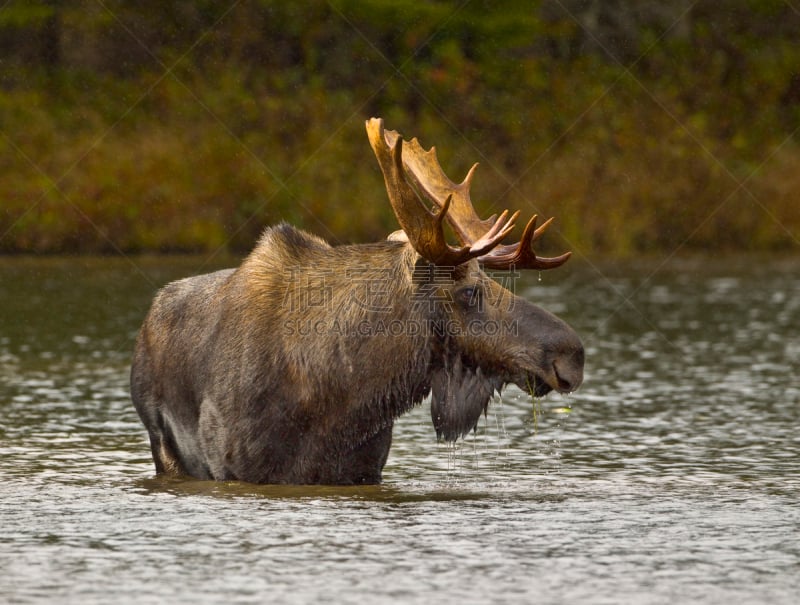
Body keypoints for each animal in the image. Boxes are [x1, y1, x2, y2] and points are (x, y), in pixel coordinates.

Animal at [130, 119, 580, 486]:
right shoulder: (235, 467)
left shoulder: (363, 470)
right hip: (163, 447)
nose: (573, 354)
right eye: (468, 291)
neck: (345, 395)